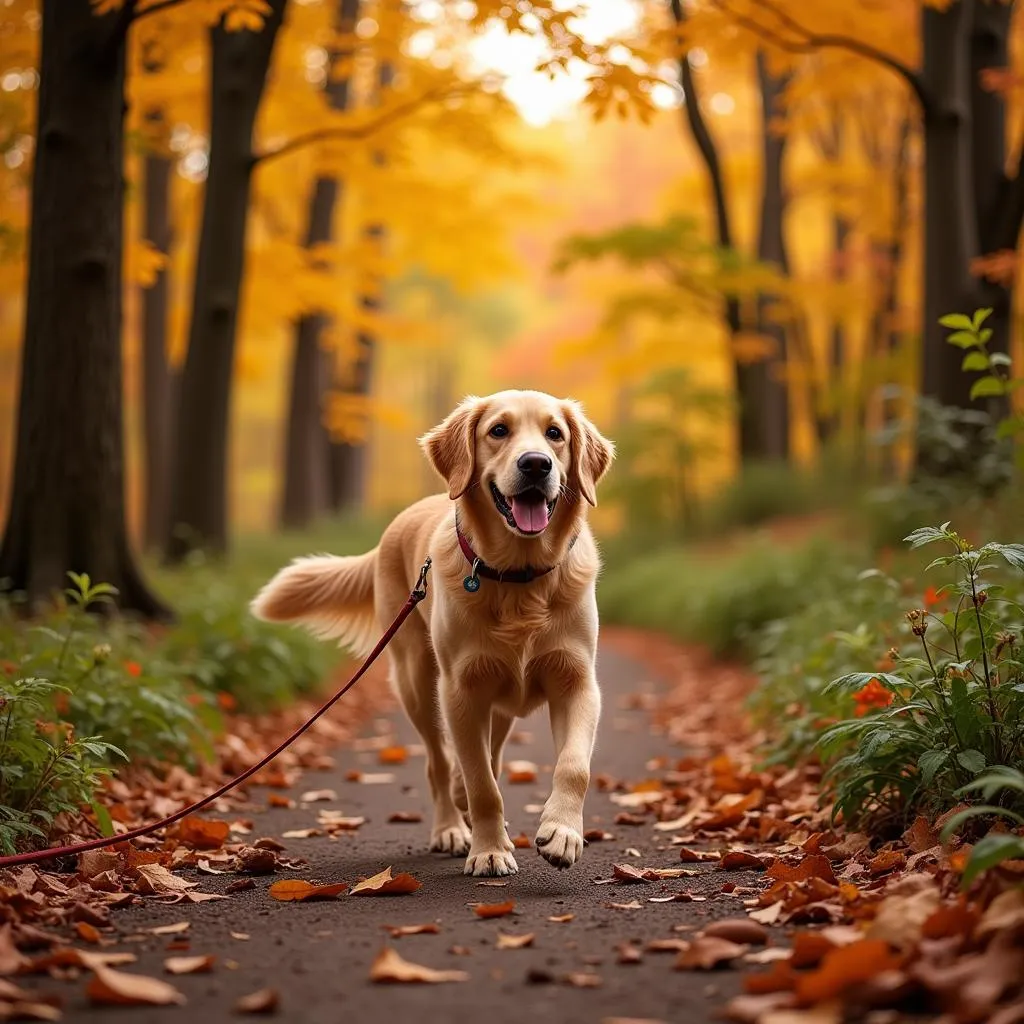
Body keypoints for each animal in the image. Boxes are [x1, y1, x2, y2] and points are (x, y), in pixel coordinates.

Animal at [250, 387, 610, 876]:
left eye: (555, 433)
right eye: (499, 430)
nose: (536, 464)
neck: (519, 577)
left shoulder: (576, 681)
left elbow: (573, 766)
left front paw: (563, 834)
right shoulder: (460, 688)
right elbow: (481, 784)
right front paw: (489, 850)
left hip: (496, 697)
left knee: (489, 751)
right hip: (417, 683)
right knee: (440, 763)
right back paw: (451, 826)